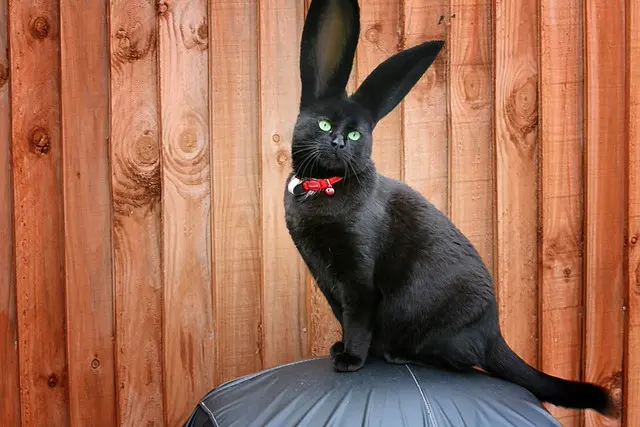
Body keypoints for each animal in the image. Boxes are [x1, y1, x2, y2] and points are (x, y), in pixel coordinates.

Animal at [283, 0, 617, 417]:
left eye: (357, 133)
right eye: (325, 124)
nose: (340, 143)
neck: (321, 191)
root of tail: (493, 332)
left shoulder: (358, 278)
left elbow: (357, 320)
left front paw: (352, 358)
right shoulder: (326, 278)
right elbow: (346, 319)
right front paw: (343, 347)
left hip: (427, 315)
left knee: (462, 361)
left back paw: (400, 355)